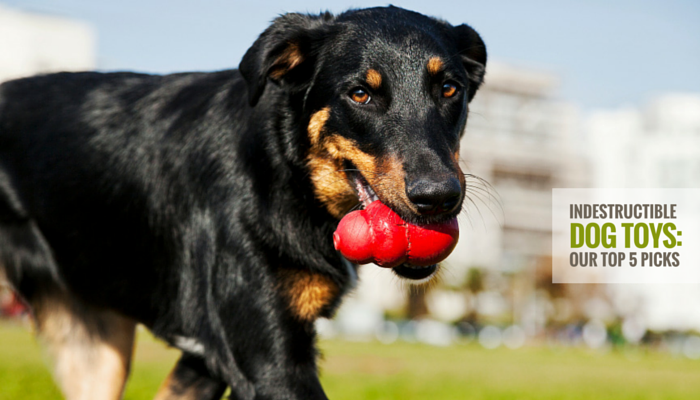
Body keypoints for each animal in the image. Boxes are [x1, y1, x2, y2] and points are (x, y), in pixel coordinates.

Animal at [0, 5, 484, 400]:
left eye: (449, 89)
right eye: (360, 94)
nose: (439, 197)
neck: (284, 171)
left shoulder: (207, 361)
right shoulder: (270, 365)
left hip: (97, 348)